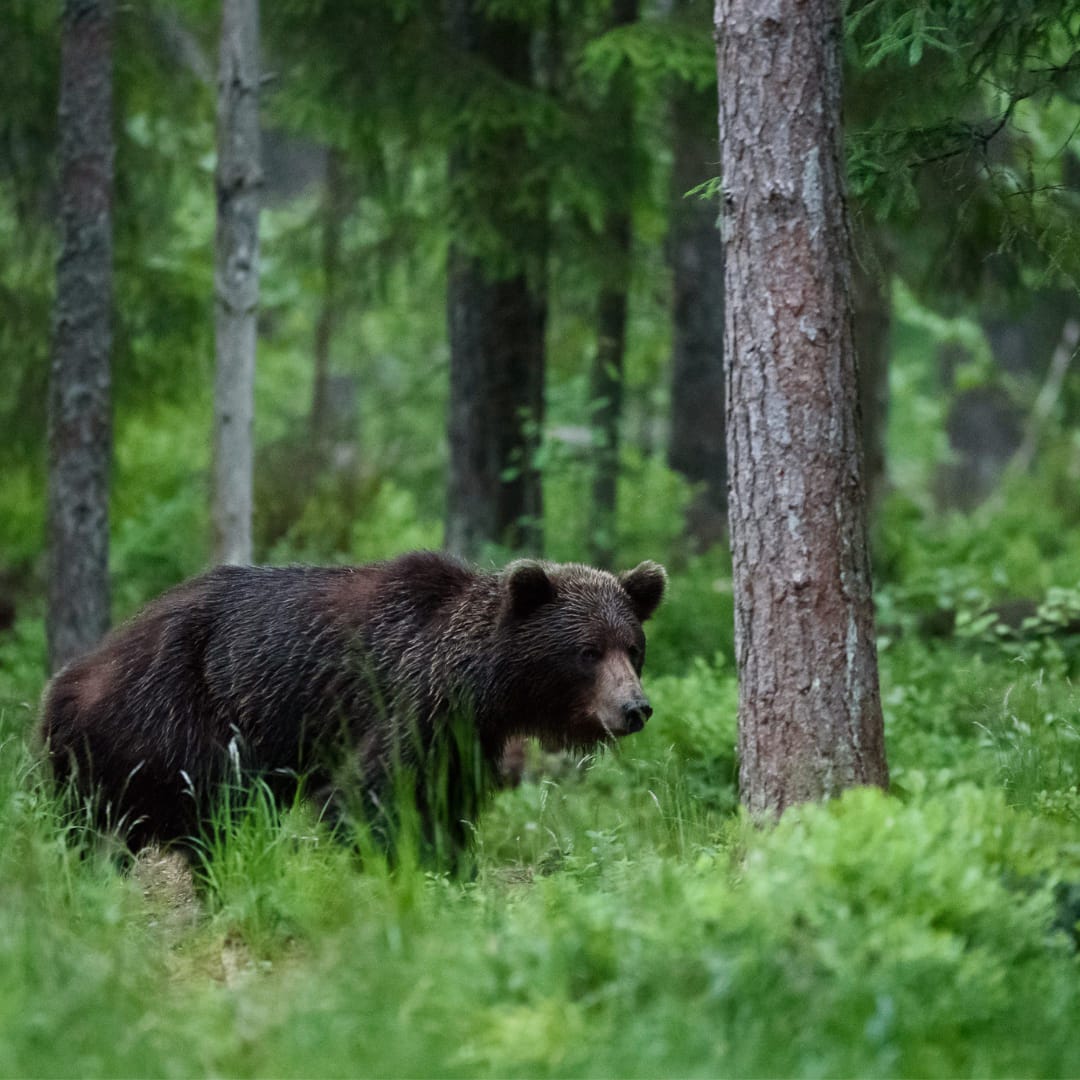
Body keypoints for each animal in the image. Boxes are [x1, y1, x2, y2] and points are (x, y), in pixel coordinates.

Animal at [39, 552, 665, 864]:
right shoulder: (404, 703)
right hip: (178, 713)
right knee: (217, 815)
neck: (481, 687)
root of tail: (64, 684)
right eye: (587, 651)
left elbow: (446, 804)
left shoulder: (461, 740)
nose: (635, 707)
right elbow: (368, 799)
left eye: (632, 647)